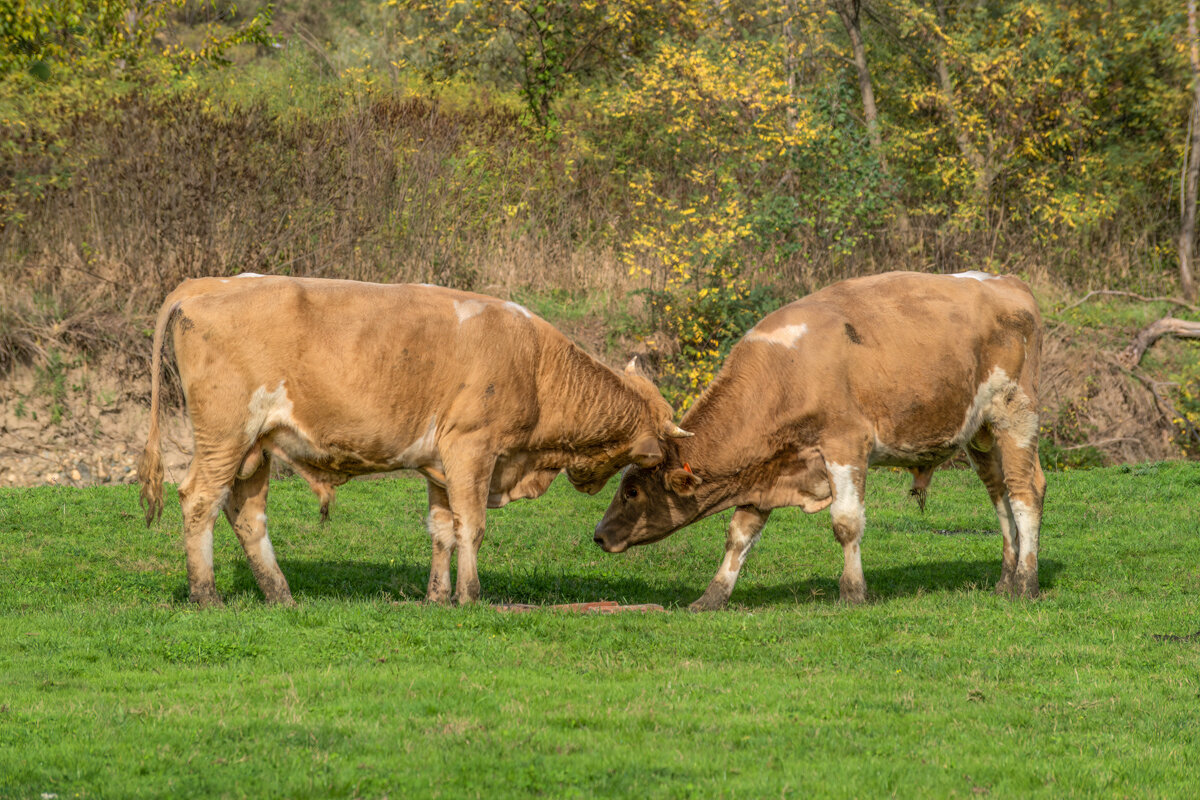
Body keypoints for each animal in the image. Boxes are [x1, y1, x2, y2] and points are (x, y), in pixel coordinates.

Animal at [136, 275, 691, 606]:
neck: (536, 366)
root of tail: (209, 282)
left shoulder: (443, 464)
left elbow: (443, 529)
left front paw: (437, 597)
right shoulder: (472, 449)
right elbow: (473, 526)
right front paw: (470, 596)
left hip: (255, 448)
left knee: (247, 516)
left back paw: (281, 596)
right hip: (226, 433)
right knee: (199, 500)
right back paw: (206, 595)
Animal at [595, 272, 1046, 609]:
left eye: (632, 491)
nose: (598, 535)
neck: (786, 370)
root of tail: (1006, 282)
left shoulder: (846, 445)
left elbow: (846, 524)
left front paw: (853, 593)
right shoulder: (764, 470)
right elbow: (739, 534)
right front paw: (711, 598)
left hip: (1015, 414)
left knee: (1025, 493)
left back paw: (1026, 583)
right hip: (980, 435)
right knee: (1000, 496)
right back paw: (1005, 581)